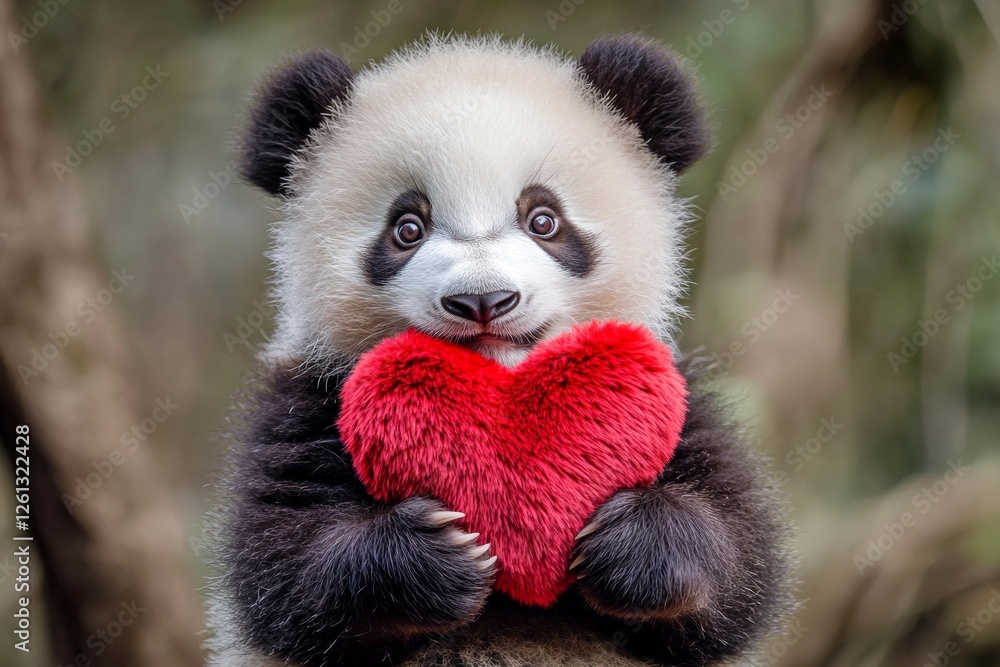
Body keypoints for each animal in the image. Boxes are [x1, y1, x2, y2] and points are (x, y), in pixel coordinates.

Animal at [209, 33, 791, 667]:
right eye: (407, 228)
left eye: (544, 220)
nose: (483, 299)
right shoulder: (307, 398)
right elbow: (285, 568)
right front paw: (434, 554)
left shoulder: (676, 406)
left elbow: (738, 568)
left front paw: (630, 541)